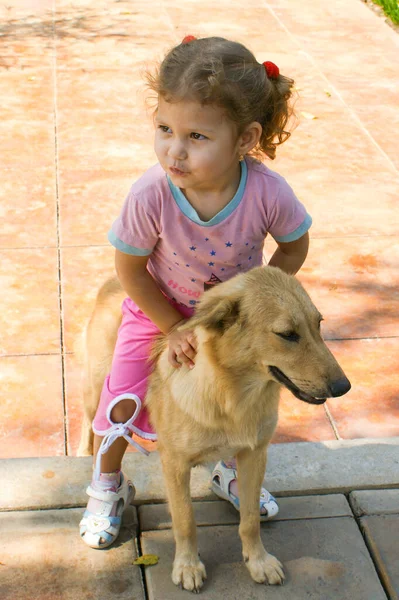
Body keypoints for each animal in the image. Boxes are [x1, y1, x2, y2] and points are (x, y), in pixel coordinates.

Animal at [78, 266, 350, 592]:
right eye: (287, 334)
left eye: (319, 324)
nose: (344, 387)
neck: (233, 396)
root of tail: (112, 281)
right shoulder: (174, 464)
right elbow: (185, 520)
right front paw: (187, 566)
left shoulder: (254, 454)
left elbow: (249, 520)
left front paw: (258, 560)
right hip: (101, 390)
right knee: (96, 423)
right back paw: (87, 459)